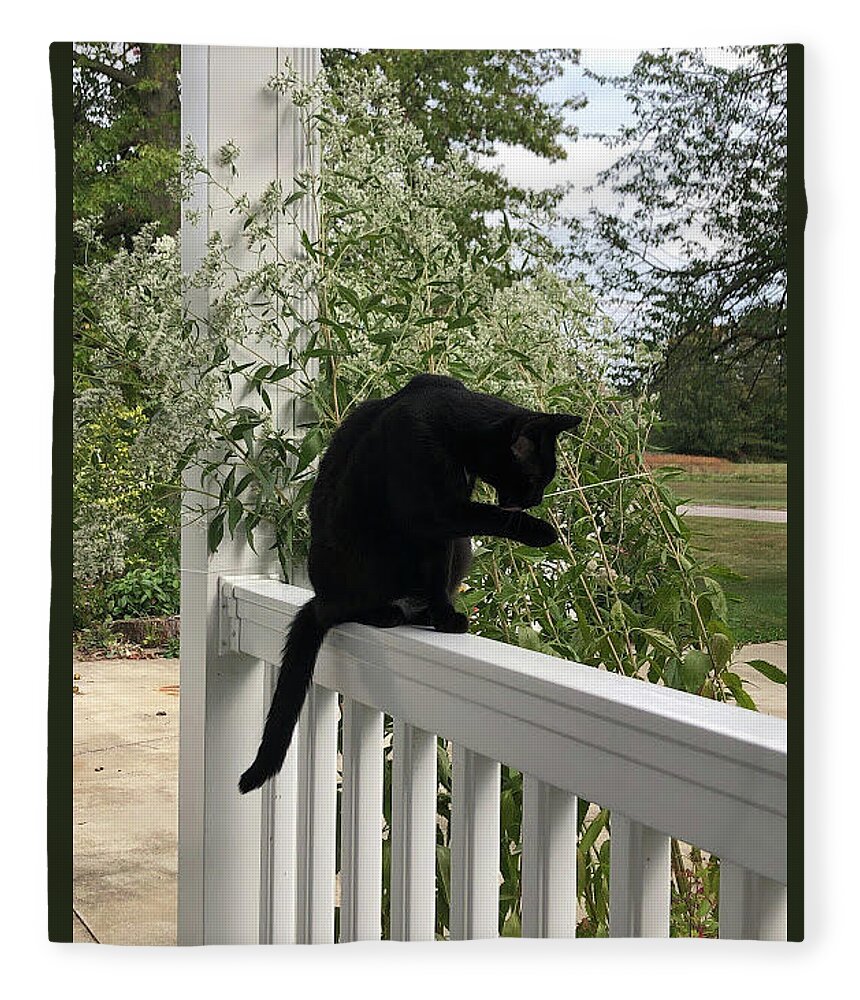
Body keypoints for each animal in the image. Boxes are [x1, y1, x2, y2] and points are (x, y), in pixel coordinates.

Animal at [239, 372, 580, 792]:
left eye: (545, 480)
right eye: (534, 478)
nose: (536, 501)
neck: (452, 425)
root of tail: (321, 598)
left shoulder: (445, 533)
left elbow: (438, 574)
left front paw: (443, 616)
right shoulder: (430, 511)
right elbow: (488, 515)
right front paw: (539, 530)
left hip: (458, 546)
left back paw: (420, 612)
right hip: (370, 546)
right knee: (353, 607)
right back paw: (385, 613)